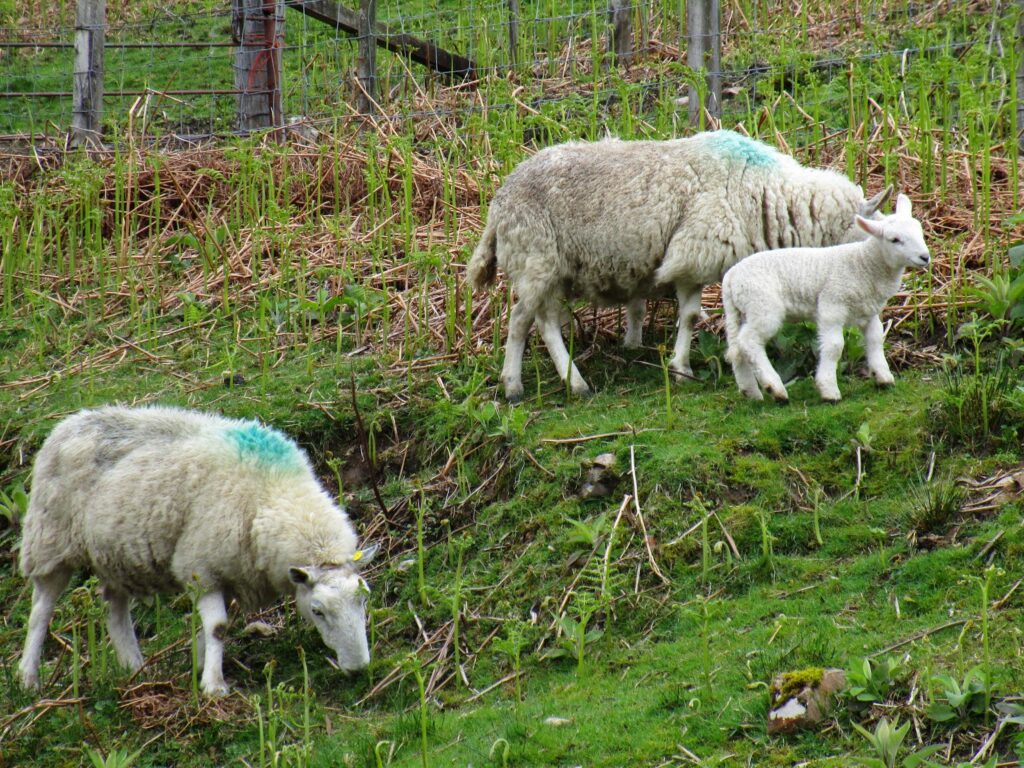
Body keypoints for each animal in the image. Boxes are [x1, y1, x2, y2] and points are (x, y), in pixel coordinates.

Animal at [18, 405, 379, 697]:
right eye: (317, 610)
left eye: (363, 600)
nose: (359, 667)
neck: (273, 493)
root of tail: (69, 422)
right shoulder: (201, 567)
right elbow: (218, 626)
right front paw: (214, 685)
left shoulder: (228, 572)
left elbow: (213, 628)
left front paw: (200, 664)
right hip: (49, 541)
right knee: (41, 610)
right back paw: (28, 678)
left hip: (114, 555)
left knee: (115, 609)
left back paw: (135, 669)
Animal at [466, 129, 892, 401]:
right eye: (869, 234)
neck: (765, 193)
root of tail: (499, 202)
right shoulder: (693, 255)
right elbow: (689, 317)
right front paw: (682, 368)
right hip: (535, 259)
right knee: (520, 322)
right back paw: (521, 386)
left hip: (551, 270)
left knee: (544, 322)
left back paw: (570, 380)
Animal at [722, 193, 930, 403]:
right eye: (894, 240)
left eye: (919, 231)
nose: (925, 257)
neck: (864, 264)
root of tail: (730, 278)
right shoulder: (832, 305)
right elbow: (834, 346)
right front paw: (829, 390)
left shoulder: (869, 312)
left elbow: (875, 339)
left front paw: (883, 377)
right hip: (763, 306)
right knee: (749, 341)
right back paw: (775, 388)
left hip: (741, 311)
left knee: (737, 349)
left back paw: (751, 392)